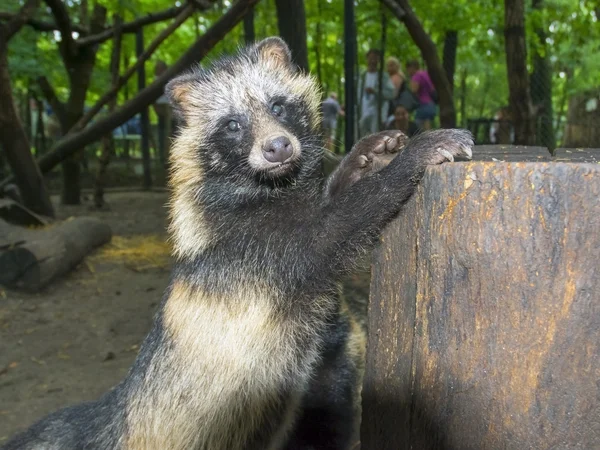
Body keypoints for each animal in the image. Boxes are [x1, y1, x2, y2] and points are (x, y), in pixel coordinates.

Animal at [2, 37, 474, 448]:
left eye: (278, 105)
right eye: (232, 124)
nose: (278, 147)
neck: (270, 187)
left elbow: (329, 206)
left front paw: (367, 155)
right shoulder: (254, 248)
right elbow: (333, 229)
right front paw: (412, 157)